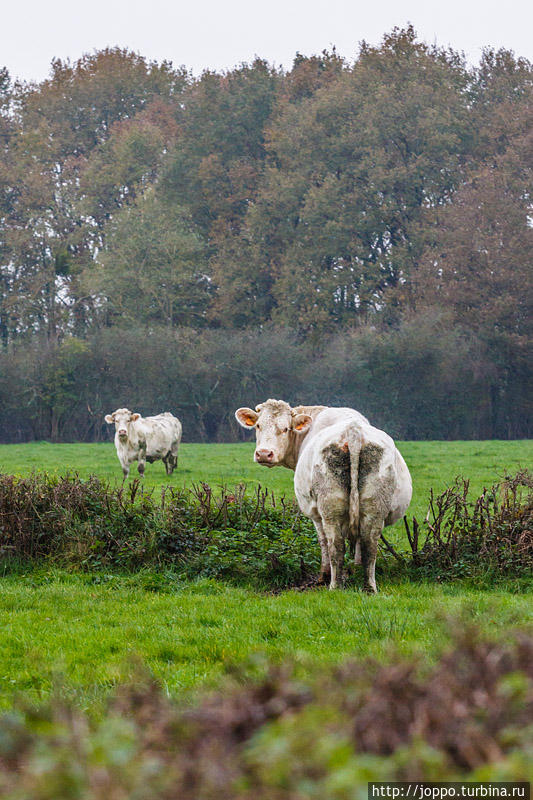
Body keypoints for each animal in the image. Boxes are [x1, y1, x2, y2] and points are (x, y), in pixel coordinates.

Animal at [235, 400, 414, 592]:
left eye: (285, 429)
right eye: (258, 426)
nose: (264, 453)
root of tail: (354, 430)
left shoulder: (315, 515)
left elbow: (322, 543)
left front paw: (323, 576)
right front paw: (356, 569)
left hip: (330, 510)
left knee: (335, 546)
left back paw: (334, 585)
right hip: (374, 509)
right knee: (369, 545)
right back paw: (369, 587)